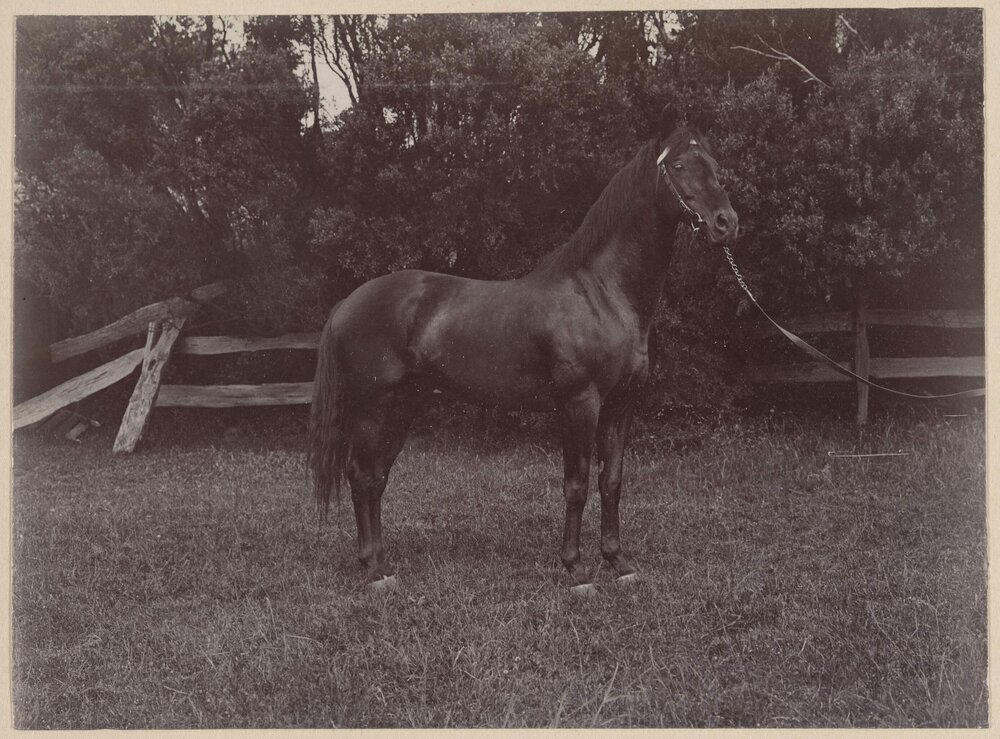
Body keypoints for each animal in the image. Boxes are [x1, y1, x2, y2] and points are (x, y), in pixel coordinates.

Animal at [309, 104, 738, 592]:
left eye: (716, 165)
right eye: (680, 166)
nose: (726, 223)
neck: (602, 293)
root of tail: (348, 302)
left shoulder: (621, 403)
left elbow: (611, 481)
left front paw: (618, 562)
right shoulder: (579, 403)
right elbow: (576, 484)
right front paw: (575, 570)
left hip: (402, 406)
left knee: (377, 477)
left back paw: (380, 561)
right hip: (372, 406)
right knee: (361, 475)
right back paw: (373, 570)